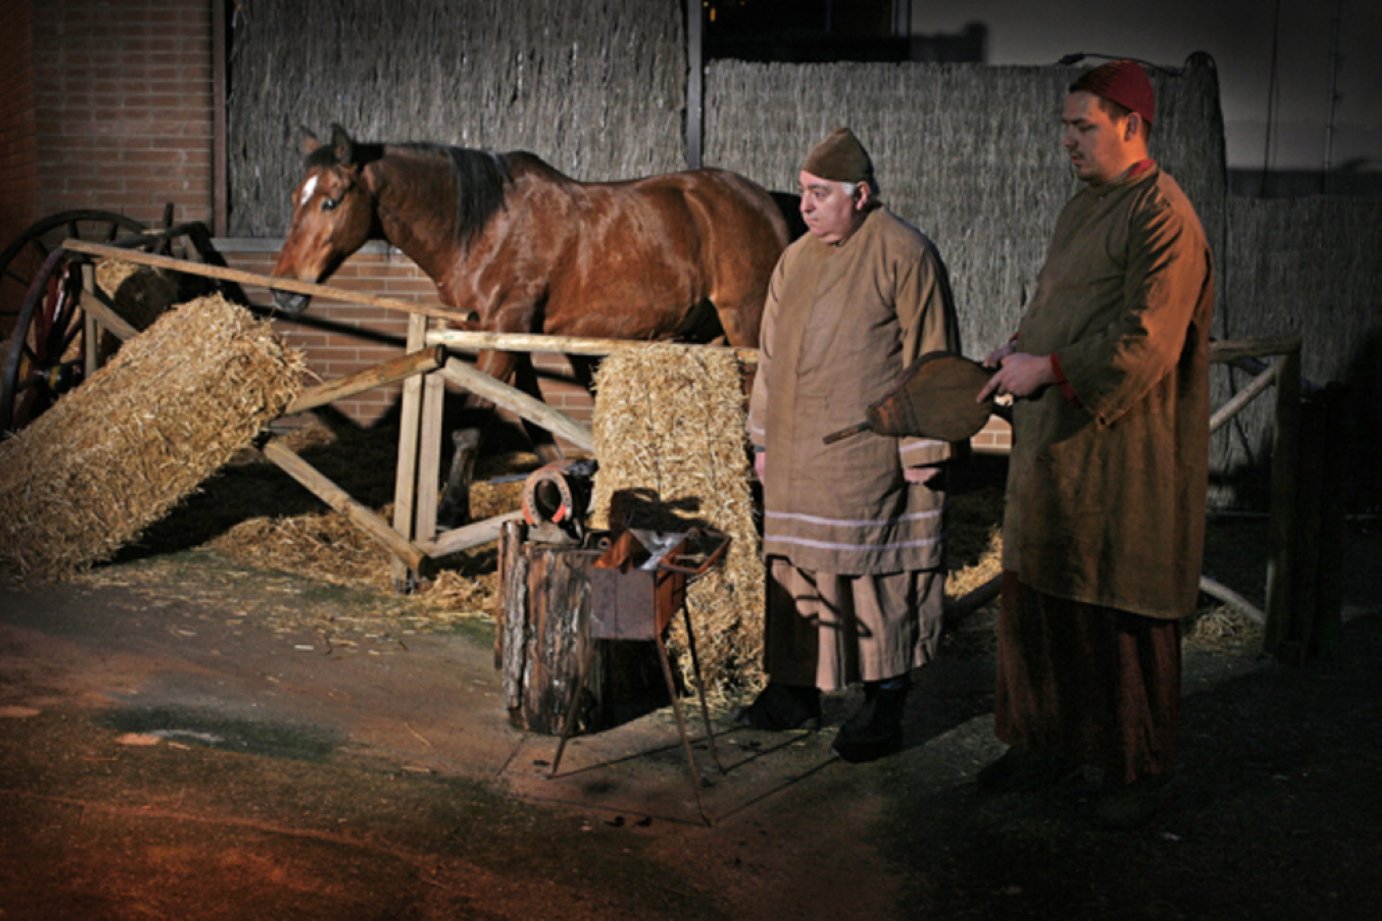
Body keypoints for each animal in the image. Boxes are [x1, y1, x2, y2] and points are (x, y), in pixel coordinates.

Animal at [272, 123, 790, 522]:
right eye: (295, 197)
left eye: (332, 201)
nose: (283, 290)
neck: (485, 230)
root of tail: (763, 202)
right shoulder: (509, 339)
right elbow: (535, 426)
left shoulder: (503, 334)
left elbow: (470, 428)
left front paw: (450, 513)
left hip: (747, 323)